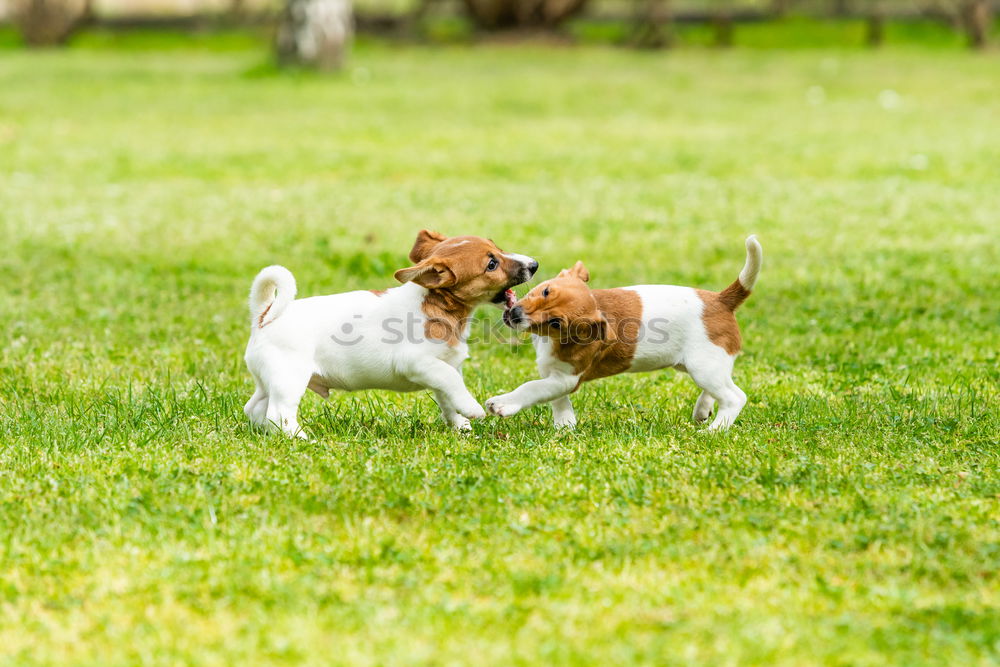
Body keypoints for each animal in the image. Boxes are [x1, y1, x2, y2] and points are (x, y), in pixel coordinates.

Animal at [243, 230, 540, 438]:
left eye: (498, 249)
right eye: (491, 264)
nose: (534, 264)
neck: (438, 306)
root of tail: (264, 316)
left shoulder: (443, 367)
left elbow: (448, 397)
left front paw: (460, 426)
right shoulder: (419, 363)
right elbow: (453, 383)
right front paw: (472, 409)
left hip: (270, 381)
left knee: (255, 408)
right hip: (290, 379)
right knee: (278, 414)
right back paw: (301, 438)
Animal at [488, 237, 760, 430]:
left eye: (556, 322)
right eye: (545, 291)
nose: (515, 314)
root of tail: (721, 300)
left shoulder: (566, 378)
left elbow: (532, 388)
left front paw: (504, 404)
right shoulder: (553, 373)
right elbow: (554, 397)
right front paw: (565, 424)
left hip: (703, 366)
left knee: (735, 397)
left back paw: (714, 430)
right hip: (701, 365)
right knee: (720, 388)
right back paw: (703, 410)